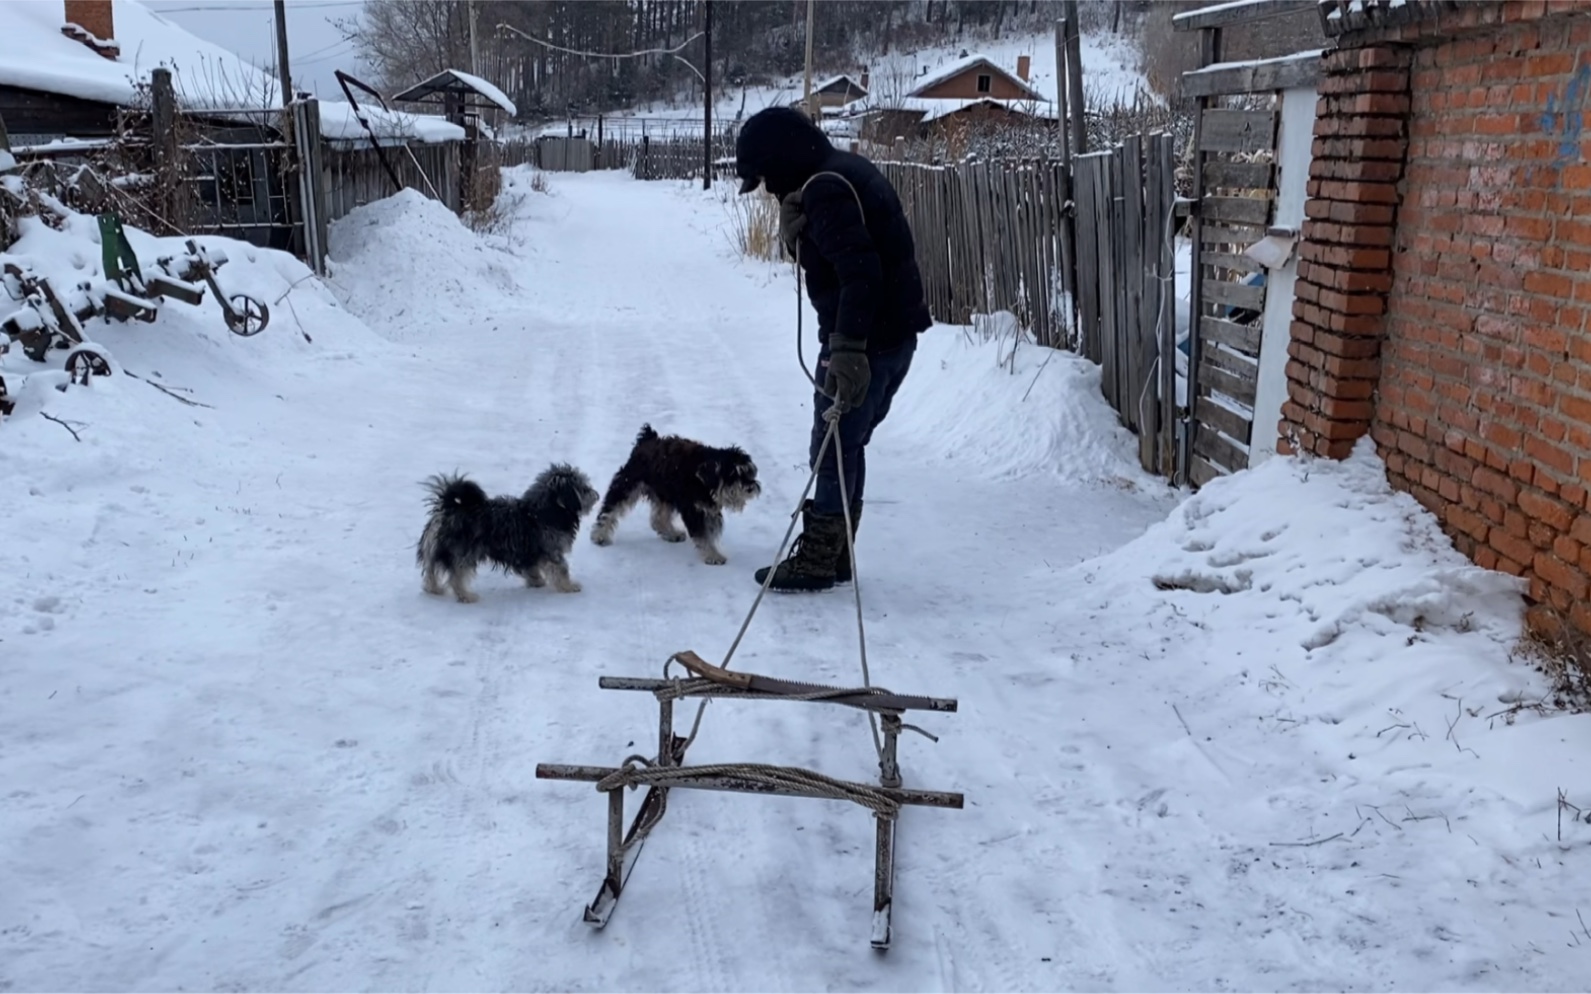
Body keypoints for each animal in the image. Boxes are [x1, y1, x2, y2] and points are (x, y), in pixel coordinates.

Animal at [420, 461, 598, 601]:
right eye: (584, 489)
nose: (596, 494)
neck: (545, 512)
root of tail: (449, 507)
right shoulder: (552, 551)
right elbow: (562, 569)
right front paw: (569, 586)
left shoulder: (530, 552)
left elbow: (532, 568)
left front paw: (537, 582)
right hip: (463, 553)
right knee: (456, 577)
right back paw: (467, 596)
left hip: (434, 549)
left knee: (430, 571)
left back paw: (434, 589)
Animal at [591, 423, 763, 566]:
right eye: (733, 474)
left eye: (749, 472)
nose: (750, 488)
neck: (702, 476)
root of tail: (647, 438)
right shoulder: (694, 510)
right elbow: (703, 535)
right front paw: (713, 555)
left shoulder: (707, 508)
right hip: (628, 484)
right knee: (610, 510)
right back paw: (600, 536)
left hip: (665, 494)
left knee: (658, 518)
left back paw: (671, 534)